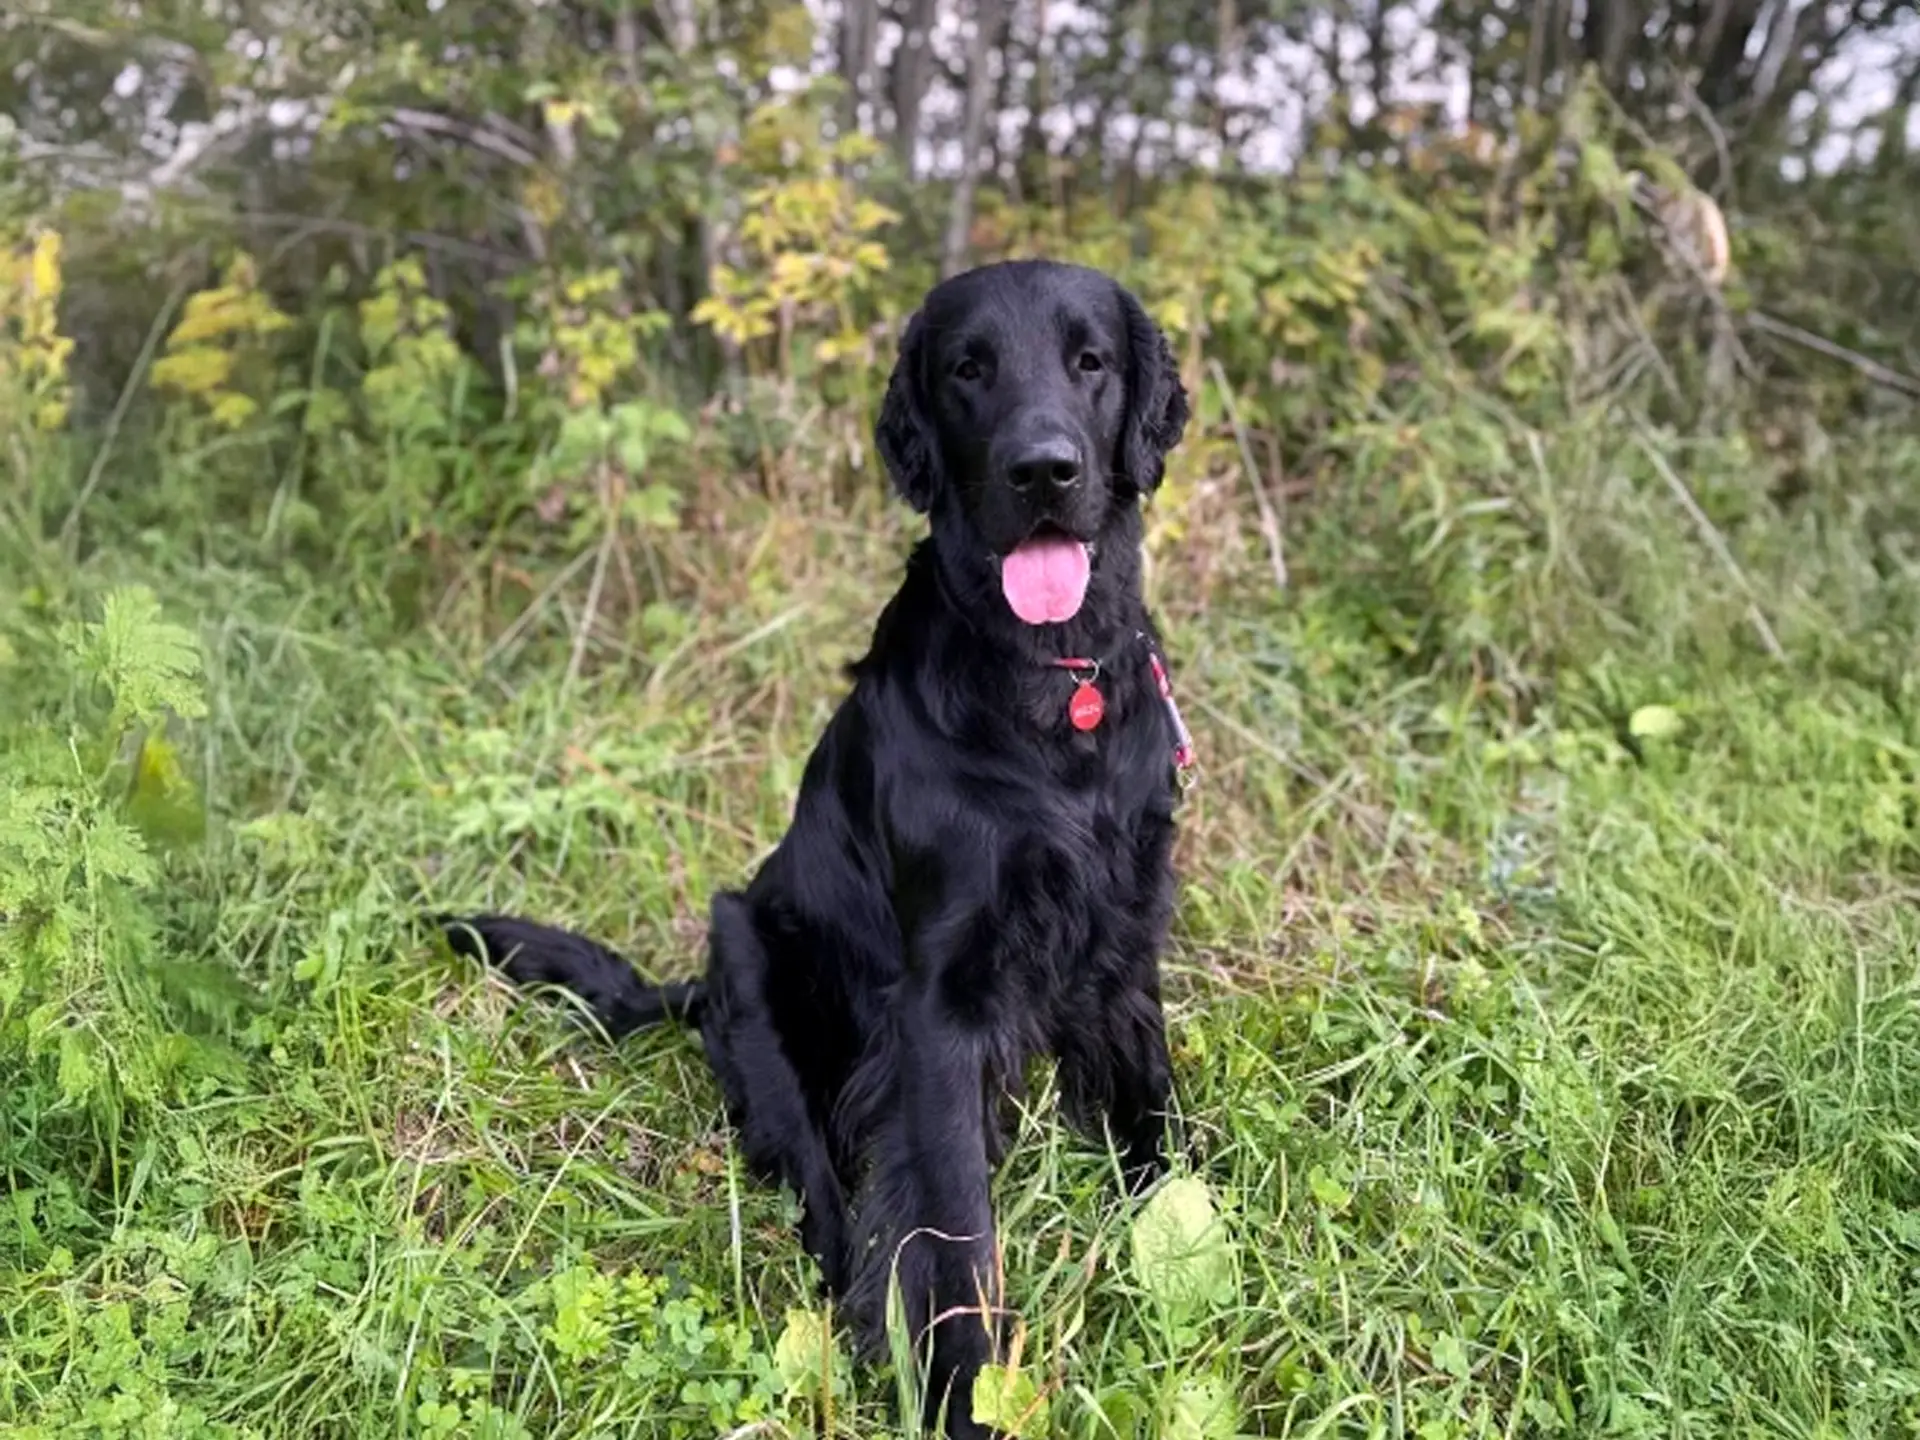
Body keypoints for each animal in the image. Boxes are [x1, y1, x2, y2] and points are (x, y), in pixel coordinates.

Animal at [439, 263, 1190, 1440]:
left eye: (1091, 360)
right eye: (969, 368)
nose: (1044, 469)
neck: (1046, 689)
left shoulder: (1123, 945)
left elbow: (1153, 1127)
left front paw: (1189, 1243)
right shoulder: (938, 1010)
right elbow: (954, 1237)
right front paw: (962, 1395)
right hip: (752, 973)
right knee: (832, 1217)